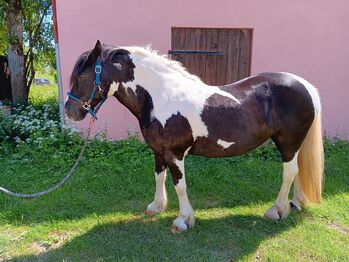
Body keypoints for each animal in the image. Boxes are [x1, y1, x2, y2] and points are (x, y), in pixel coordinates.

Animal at [64, 41, 324, 233]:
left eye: (82, 76)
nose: (69, 111)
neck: (160, 97)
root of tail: (305, 85)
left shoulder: (175, 154)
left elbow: (180, 185)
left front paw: (183, 220)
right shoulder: (158, 151)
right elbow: (158, 177)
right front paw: (156, 207)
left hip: (288, 143)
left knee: (289, 172)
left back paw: (276, 211)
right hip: (294, 145)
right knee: (298, 171)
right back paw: (294, 204)